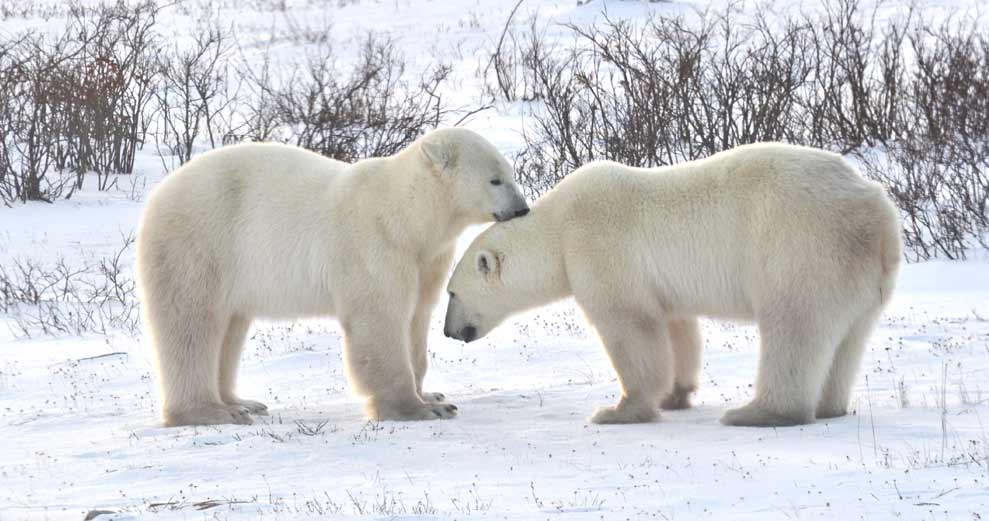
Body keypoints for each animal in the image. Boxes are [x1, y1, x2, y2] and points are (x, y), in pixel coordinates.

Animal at [137, 129, 532, 426]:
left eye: (511, 174)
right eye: (495, 179)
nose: (522, 208)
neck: (406, 215)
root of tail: (158, 194)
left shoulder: (425, 258)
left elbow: (416, 318)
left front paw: (432, 394)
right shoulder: (376, 245)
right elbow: (380, 321)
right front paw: (418, 408)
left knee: (229, 328)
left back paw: (241, 402)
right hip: (200, 244)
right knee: (191, 325)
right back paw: (210, 412)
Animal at [444, 142, 900, 426]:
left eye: (451, 293)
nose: (449, 331)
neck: (558, 226)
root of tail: (876, 212)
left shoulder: (599, 247)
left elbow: (630, 326)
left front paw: (618, 411)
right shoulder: (663, 285)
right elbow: (677, 328)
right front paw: (675, 395)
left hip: (801, 246)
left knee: (794, 326)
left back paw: (757, 413)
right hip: (861, 275)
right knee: (848, 337)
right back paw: (829, 406)